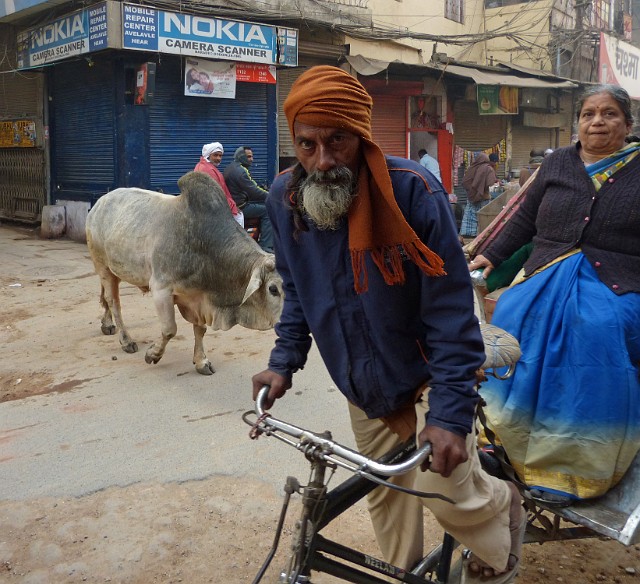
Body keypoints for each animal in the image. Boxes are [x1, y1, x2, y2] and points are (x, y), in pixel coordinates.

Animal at [85, 171, 282, 376]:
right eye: (273, 289)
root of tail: (99, 203)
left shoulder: (199, 298)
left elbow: (200, 330)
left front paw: (201, 361)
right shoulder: (161, 290)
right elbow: (170, 330)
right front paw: (153, 354)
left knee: (105, 297)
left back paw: (107, 324)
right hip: (103, 266)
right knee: (113, 302)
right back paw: (126, 340)